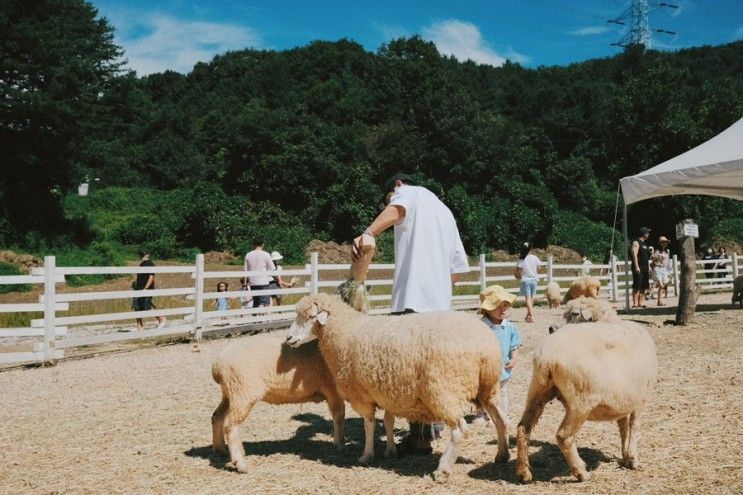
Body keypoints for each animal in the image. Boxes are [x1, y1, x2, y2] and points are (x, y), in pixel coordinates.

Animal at [212, 334, 346, 472]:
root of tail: (217, 365)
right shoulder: (332, 390)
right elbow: (338, 416)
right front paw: (339, 444)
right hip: (242, 392)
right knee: (230, 426)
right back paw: (241, 464)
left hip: (230, 394)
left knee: (217, 416)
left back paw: (220, 449)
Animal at [286, 294, 512, 480]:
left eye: (311, 316)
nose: (288, 338)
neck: (344, 331)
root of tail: (484, 346)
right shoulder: (390, 392)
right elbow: (388, 421)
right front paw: (391, 450)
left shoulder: (363, 395)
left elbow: (369, 425)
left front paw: (367, 455)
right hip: (488, 388)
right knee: (502, 420)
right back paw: (502, 455)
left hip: (444, 390)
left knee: (460, 431)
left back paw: (443, 470)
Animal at [516, 318, 656, 484]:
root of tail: (546, 358)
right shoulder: (641, 400)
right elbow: (634, 427)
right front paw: (633, 460)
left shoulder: (623, 404)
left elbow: (623, 428)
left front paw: (625, 456)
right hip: (581, 401)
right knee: (564, 436)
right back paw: (581, 473)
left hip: (538, 389)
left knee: (523, 428)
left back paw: (524, 473)